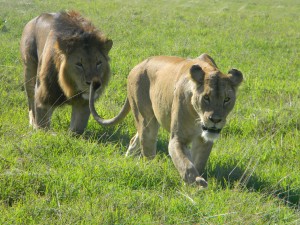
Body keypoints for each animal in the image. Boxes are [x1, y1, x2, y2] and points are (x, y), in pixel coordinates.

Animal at [89, 54, 244, 186]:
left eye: (227, 99)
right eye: (206, 97)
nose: (215, 120)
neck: (198, 118)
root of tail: (138, 65)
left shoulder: (204, 140)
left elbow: (198, 162)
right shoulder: (177, 138)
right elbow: (186, 164)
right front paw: (197, 183)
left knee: (135, 140)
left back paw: (127, 160)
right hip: (146, 119)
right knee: (148, 148)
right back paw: (152, 171)